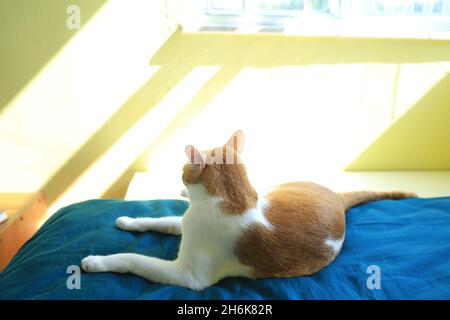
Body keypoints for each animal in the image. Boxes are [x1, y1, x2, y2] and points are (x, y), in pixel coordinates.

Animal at [81, 129, 414, 290]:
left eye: (183, 168)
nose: (181, 177)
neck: (232, 201)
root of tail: (337, 197)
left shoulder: (188, 275)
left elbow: (133, 259)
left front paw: (96, 261)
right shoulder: (186, 223)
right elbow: (163, 220)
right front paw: (128, 220)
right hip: (270, 190)